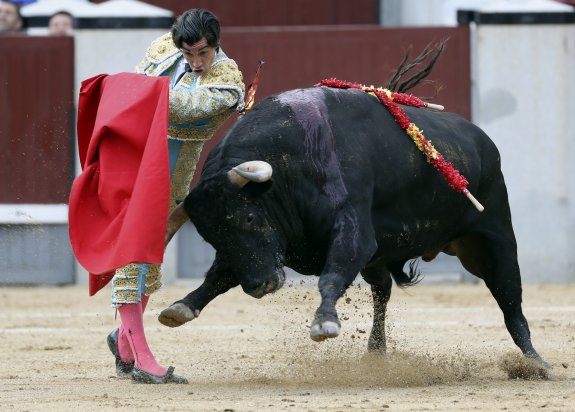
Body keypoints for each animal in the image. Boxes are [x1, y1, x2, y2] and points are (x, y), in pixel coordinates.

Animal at [159, 86, 548, 370]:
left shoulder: (353, 232)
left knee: (510, 300)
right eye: (211, 236)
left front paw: (324, 323)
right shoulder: (264, 253)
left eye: (250, 218)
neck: (291, 162)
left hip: (495, 238)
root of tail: (482, 139)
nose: (259, 286)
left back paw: (535, 363)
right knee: (383, 293)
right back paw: (375, 351)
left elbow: (331, 276)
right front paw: (181, 307)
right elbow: (218, 275)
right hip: (383, 259)